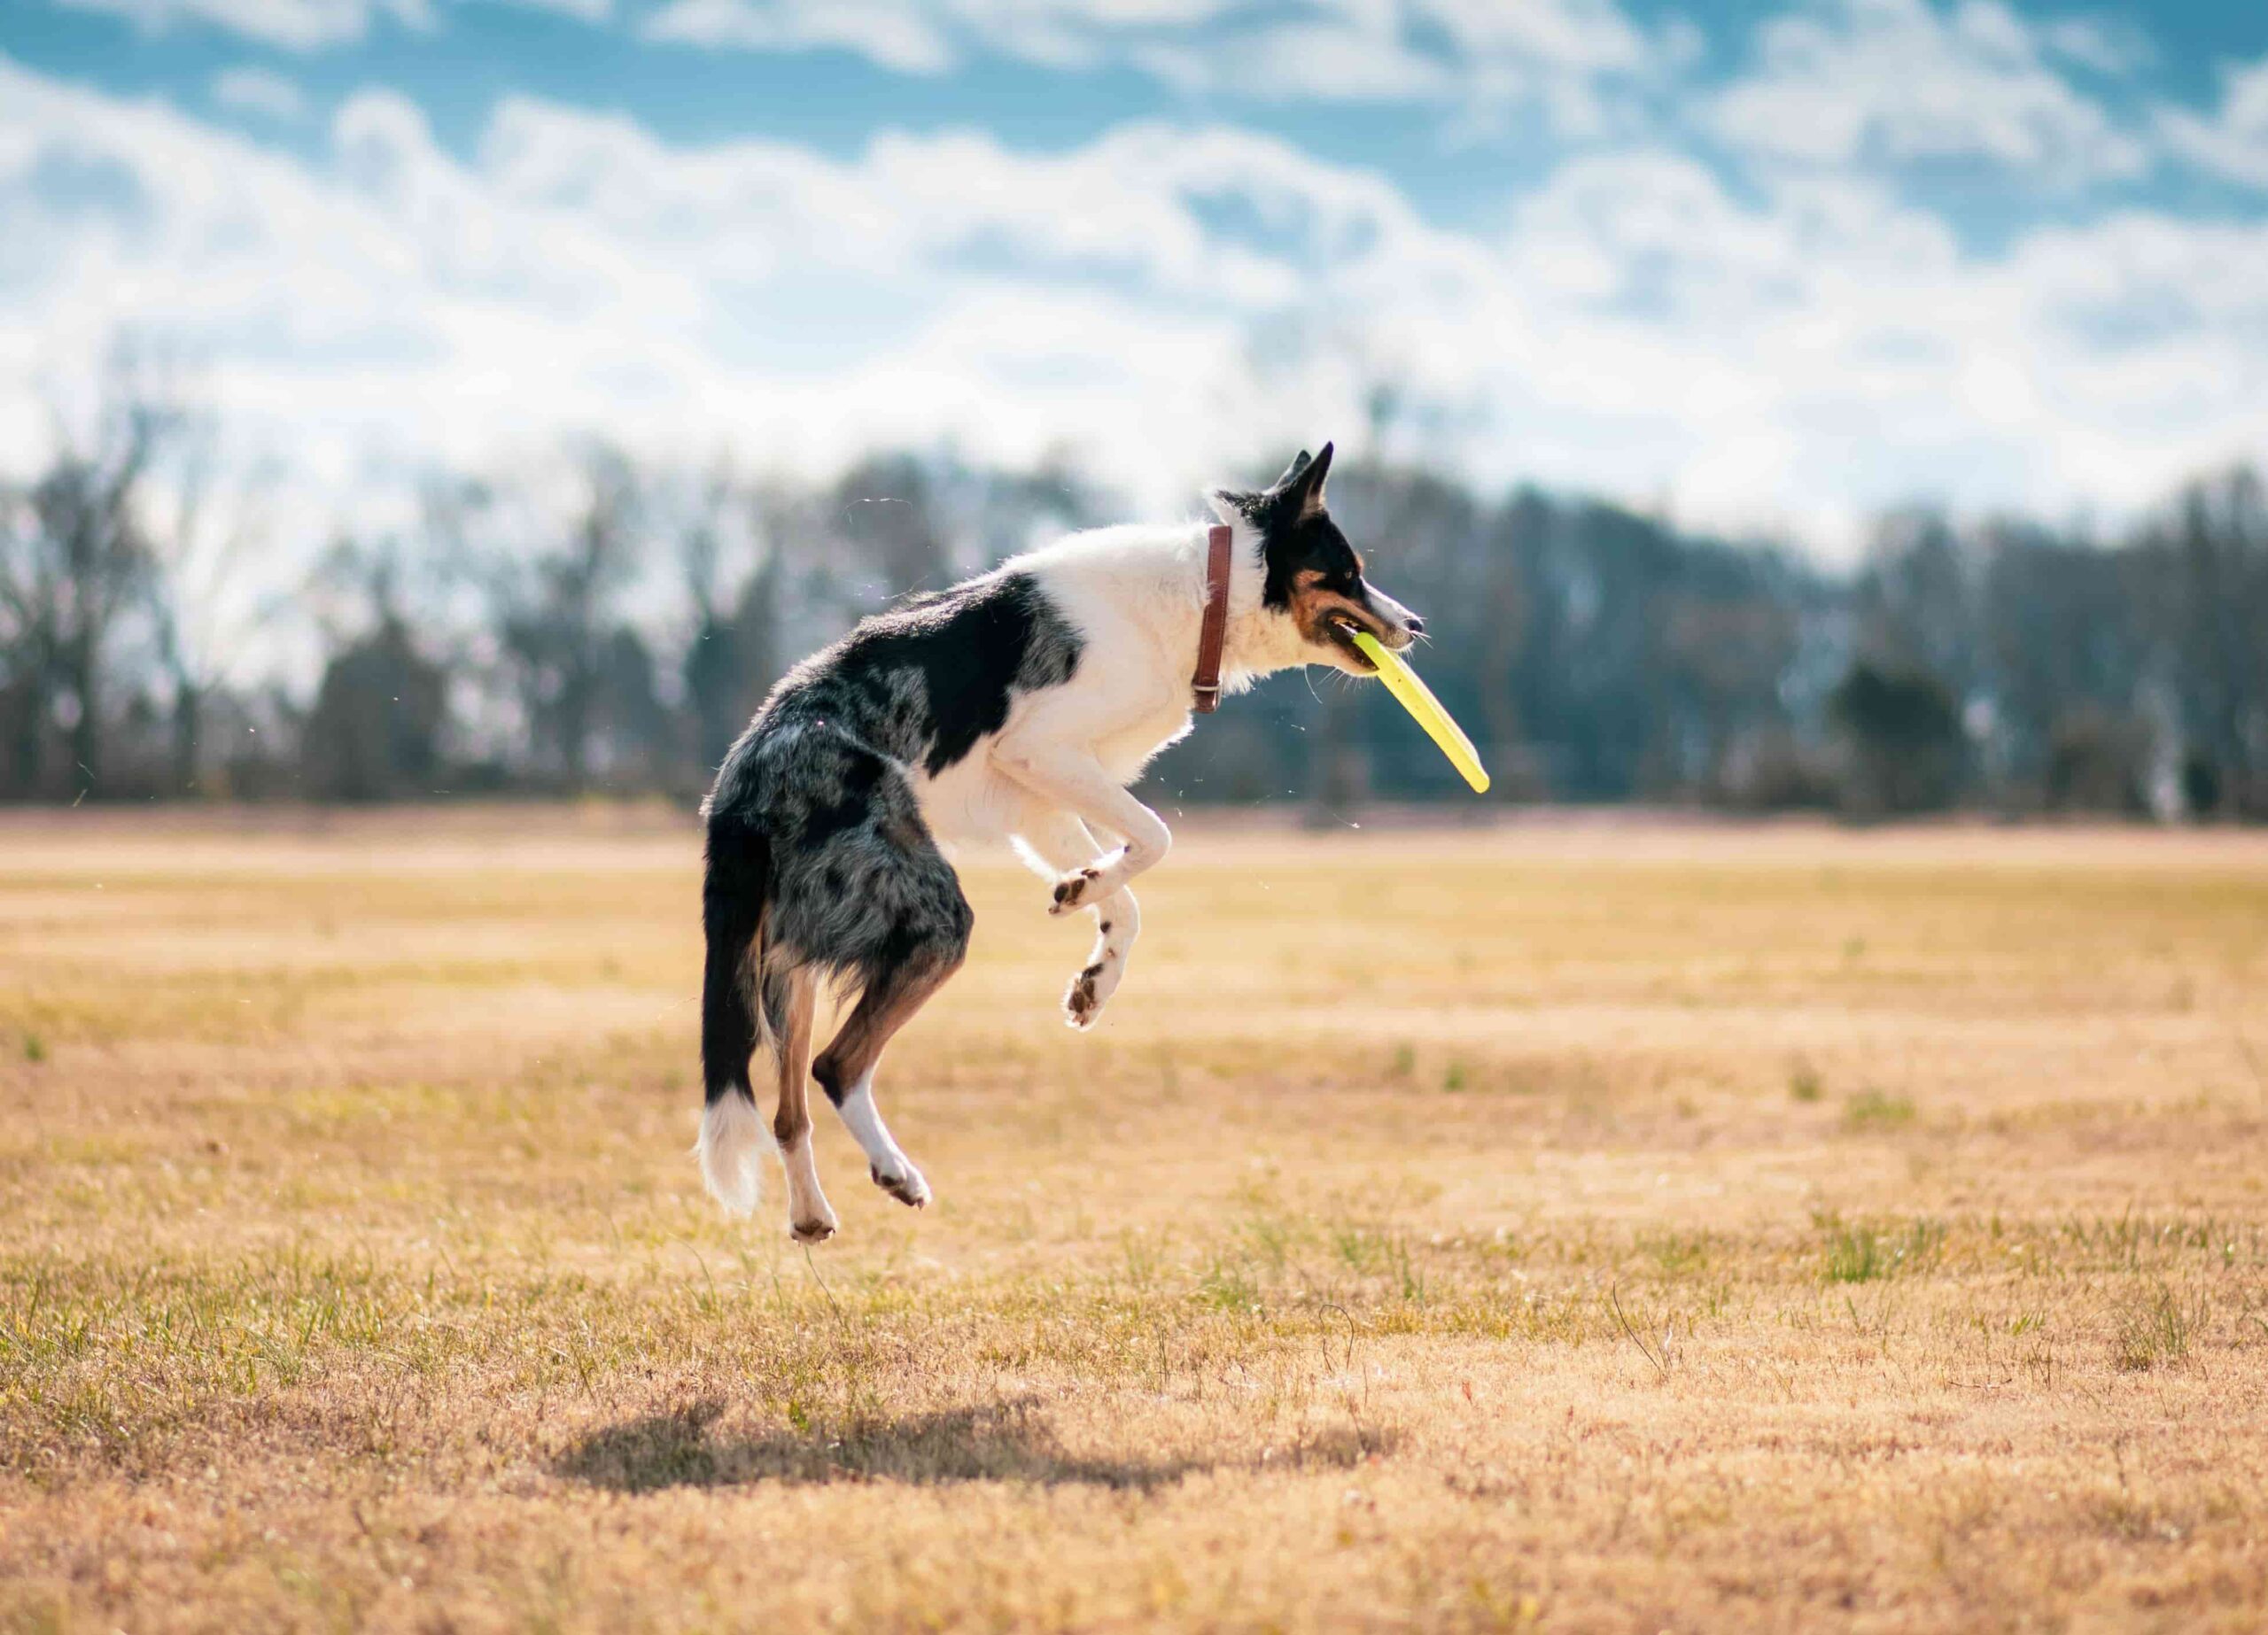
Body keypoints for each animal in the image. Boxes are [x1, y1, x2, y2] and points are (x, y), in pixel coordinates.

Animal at [698, 442, 1424, 1233]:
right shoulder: (1041, 751)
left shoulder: (1042, 801)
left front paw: (1092, 970)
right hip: (931, 918)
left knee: (788, 1109)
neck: (1205, 598)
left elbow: (1127, 900)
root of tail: (742, 781)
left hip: (791, 962)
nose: (1417, 625)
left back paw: (811, 1214)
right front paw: (1084, 894)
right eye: (1348, 571)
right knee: (836, 1065)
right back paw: (895, 1172)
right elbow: (1156, 840)